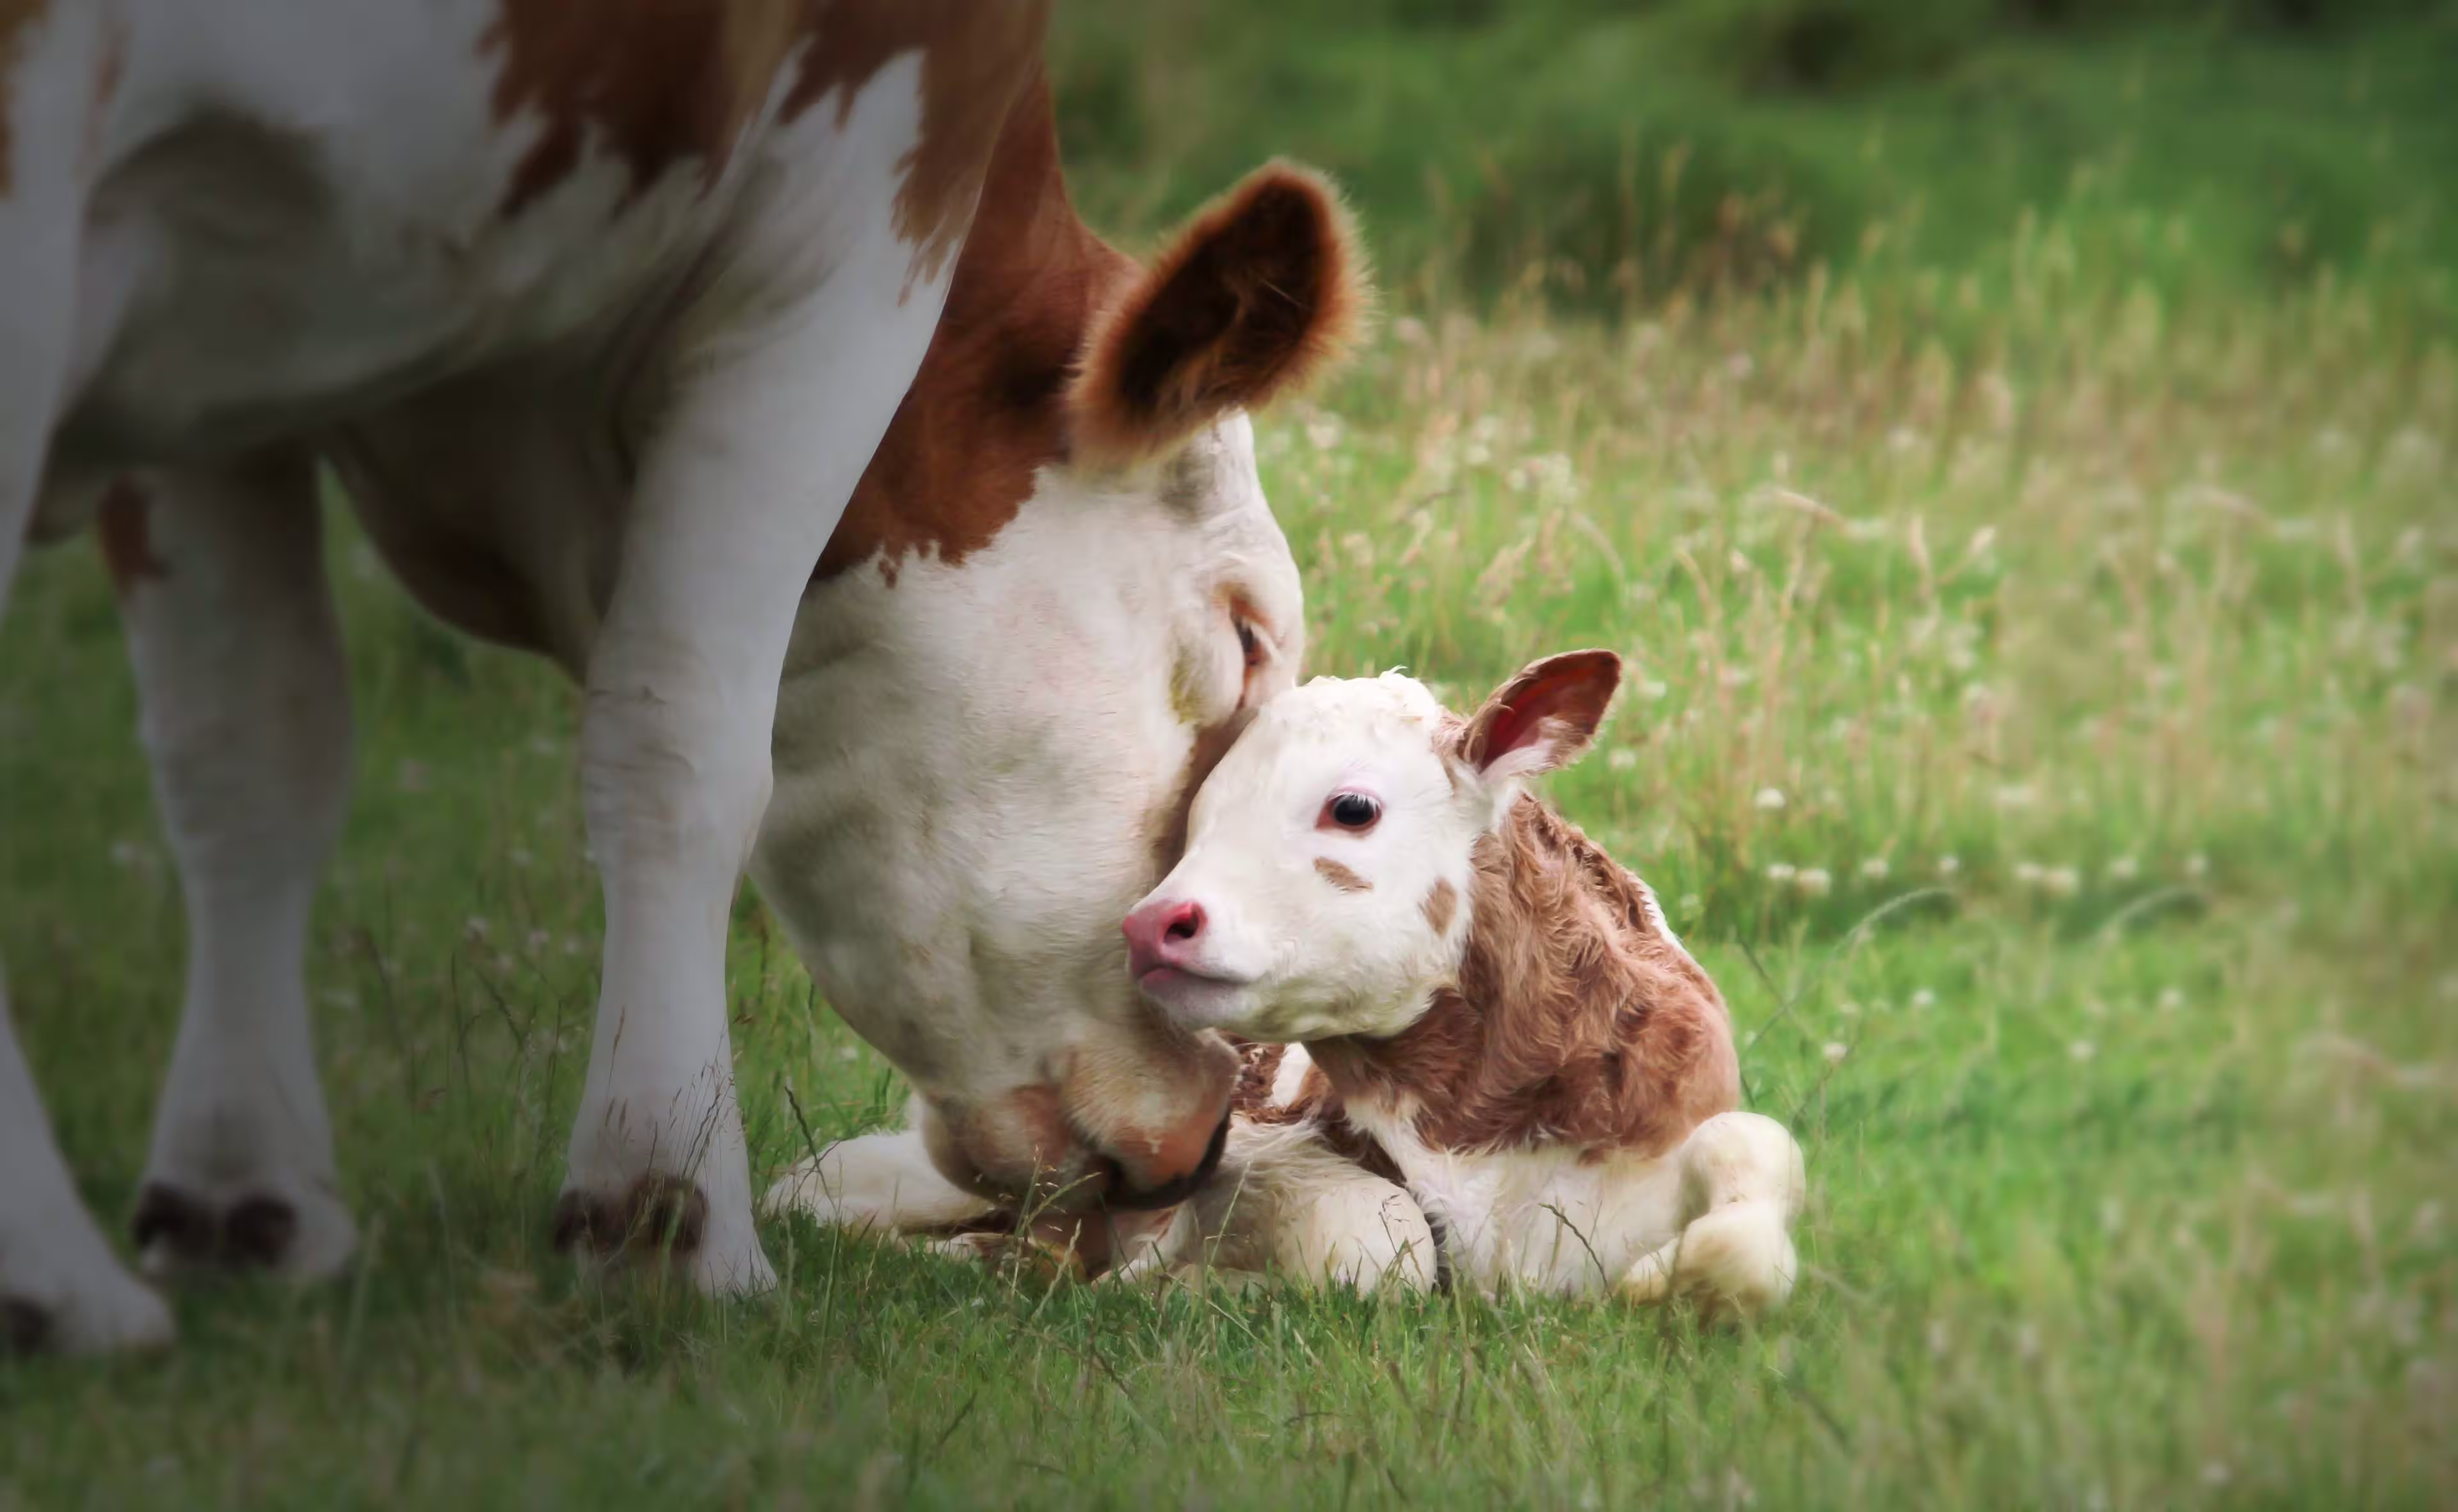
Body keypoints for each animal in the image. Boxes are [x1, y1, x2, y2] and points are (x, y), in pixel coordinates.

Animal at [0, 1, 1359, 1353]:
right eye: (1244, 641)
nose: (1210, 1126)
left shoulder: (219, 384)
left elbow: (248, 748)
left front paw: (244, 1198)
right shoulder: (861, 214)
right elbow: (684, 743)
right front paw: (667, 1213)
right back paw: (54, 1277)